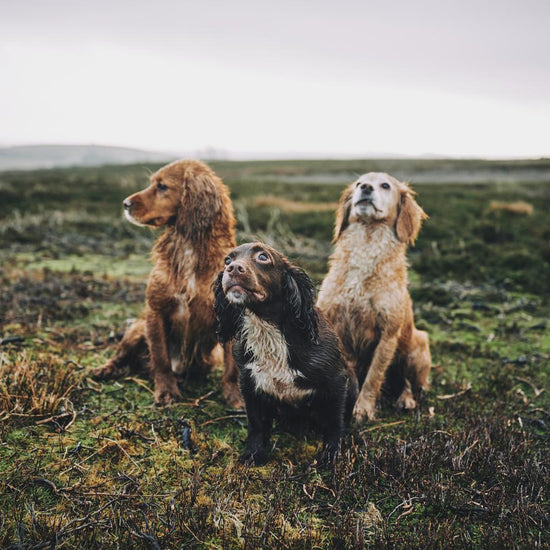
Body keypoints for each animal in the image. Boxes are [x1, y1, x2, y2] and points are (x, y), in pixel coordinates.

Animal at [93, 160, 244, 410]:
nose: (125, 204)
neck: (188, 248)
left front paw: (235, 397)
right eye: (152, 182)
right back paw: (106, 369)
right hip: (137, 328)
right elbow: (161, 359)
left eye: (162, 186)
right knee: (121, 354)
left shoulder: (229, 316)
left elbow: (232, 368)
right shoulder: (156, 311)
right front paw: (166, 391)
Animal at [320, 172, 432, 422]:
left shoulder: (388, 334)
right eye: (358, 183)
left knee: (407, 382)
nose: (366, 188)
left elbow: (374, 377)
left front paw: (363, 408)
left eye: (385, 185)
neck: (367, 239)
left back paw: (406, 400)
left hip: (417, 346)